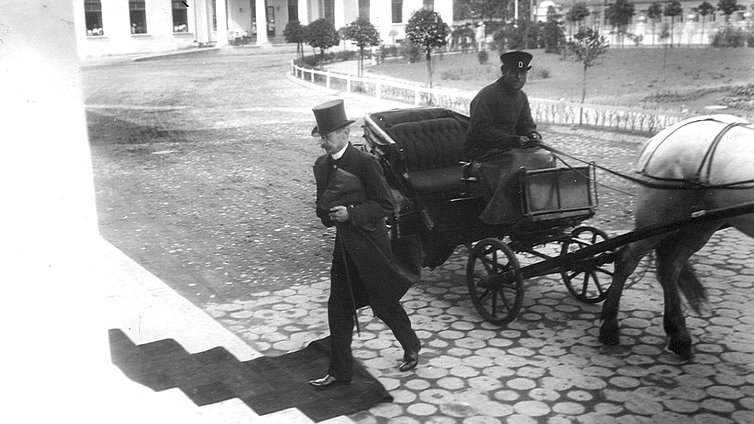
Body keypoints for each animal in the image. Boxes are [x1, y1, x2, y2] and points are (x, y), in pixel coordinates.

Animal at [596, 114, 752, 360]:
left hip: (701, 223)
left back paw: (679, 335)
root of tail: (663, 135)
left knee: (671, 266)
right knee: (627, 260)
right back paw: (610, 327)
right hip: (657, 220)